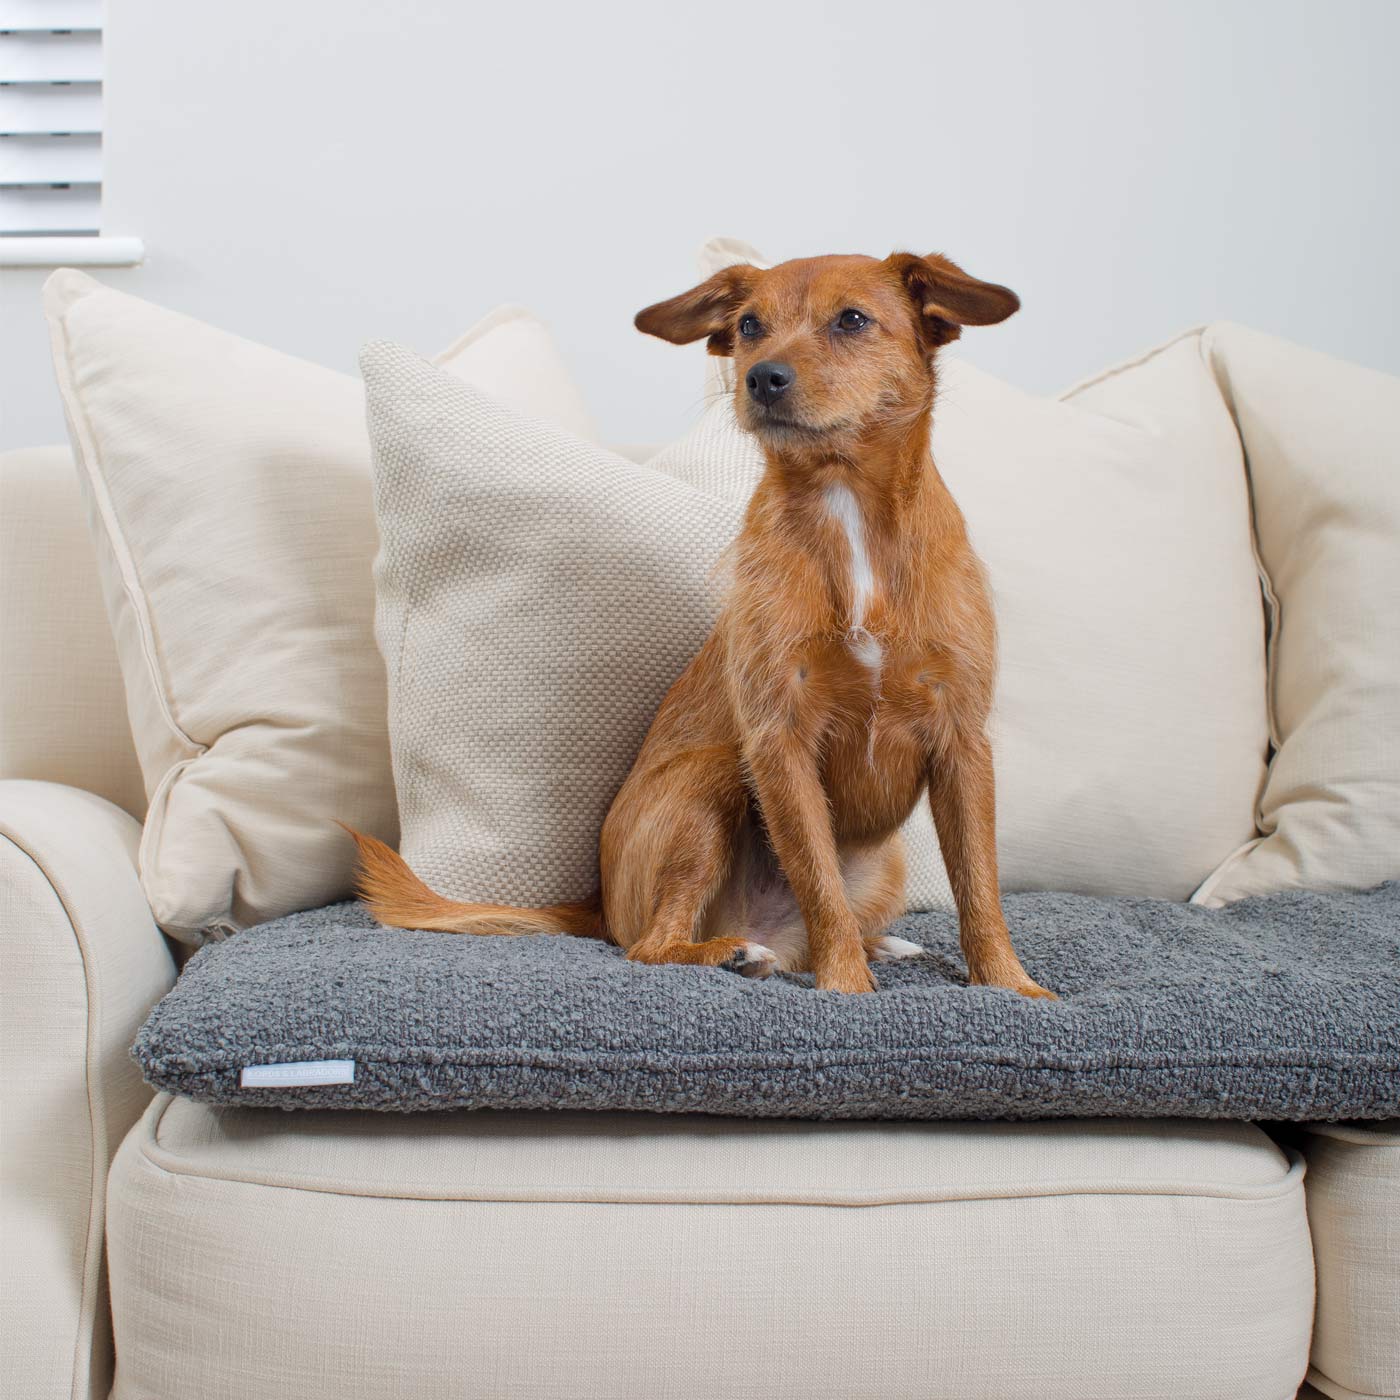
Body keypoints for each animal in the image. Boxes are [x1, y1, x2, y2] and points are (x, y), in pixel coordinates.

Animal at [350, 252, 1052, 996]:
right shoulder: (777, 740)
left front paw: (1010, 985)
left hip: (883, 858)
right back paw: (731, 951)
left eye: (853, 319)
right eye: (748, 326)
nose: (761, 377)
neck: (847, 511)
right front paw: (846, 988)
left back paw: (873, 944)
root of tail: (597, 905)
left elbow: (979, 885)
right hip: (708, 780)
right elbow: (820, 881)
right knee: (650, 944)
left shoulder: (962, 741)